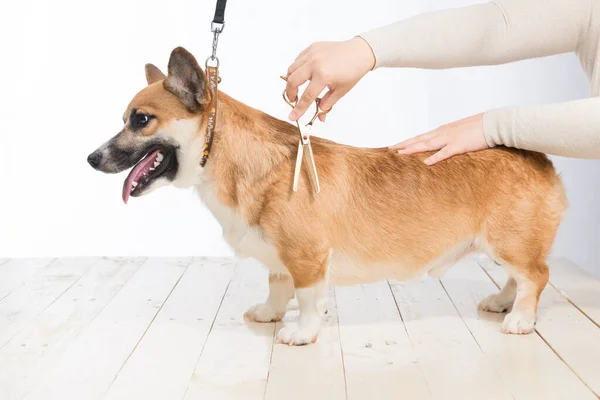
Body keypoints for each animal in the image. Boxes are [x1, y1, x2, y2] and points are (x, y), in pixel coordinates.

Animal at [88, 47, 568, 346]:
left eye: (141, 120)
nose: (91, 159)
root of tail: (539, 158)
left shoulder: (307, 257)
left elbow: (307, 299)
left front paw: (301, 333)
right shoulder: (280, 258)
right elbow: (277, 286)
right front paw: (269, 313)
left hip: (508, 243)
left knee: (536, 276)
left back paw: (520, 320)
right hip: (506, 246)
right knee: (518, 277)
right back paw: (501, 304)